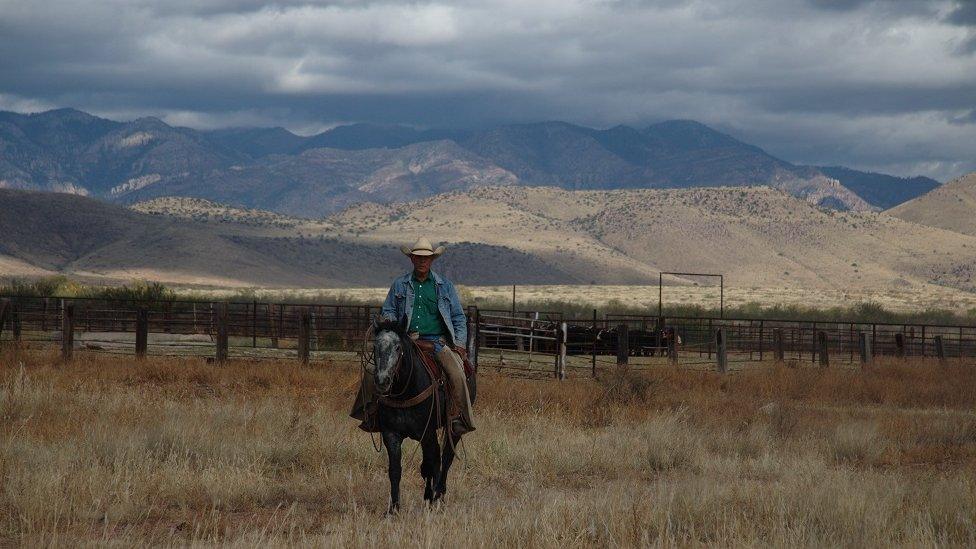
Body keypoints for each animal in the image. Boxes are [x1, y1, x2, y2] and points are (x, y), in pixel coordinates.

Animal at [370, 318, 476, 512]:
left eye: (397, 347)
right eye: (375, 346)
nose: (382, 381)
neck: (406, 392)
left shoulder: (427, 433)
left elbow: (431, 463)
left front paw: (433, 500)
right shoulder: (391, 435)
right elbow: (395, 470)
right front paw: (393, 509)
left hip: (454, 428)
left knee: (445, 457)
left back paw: (439, 493)